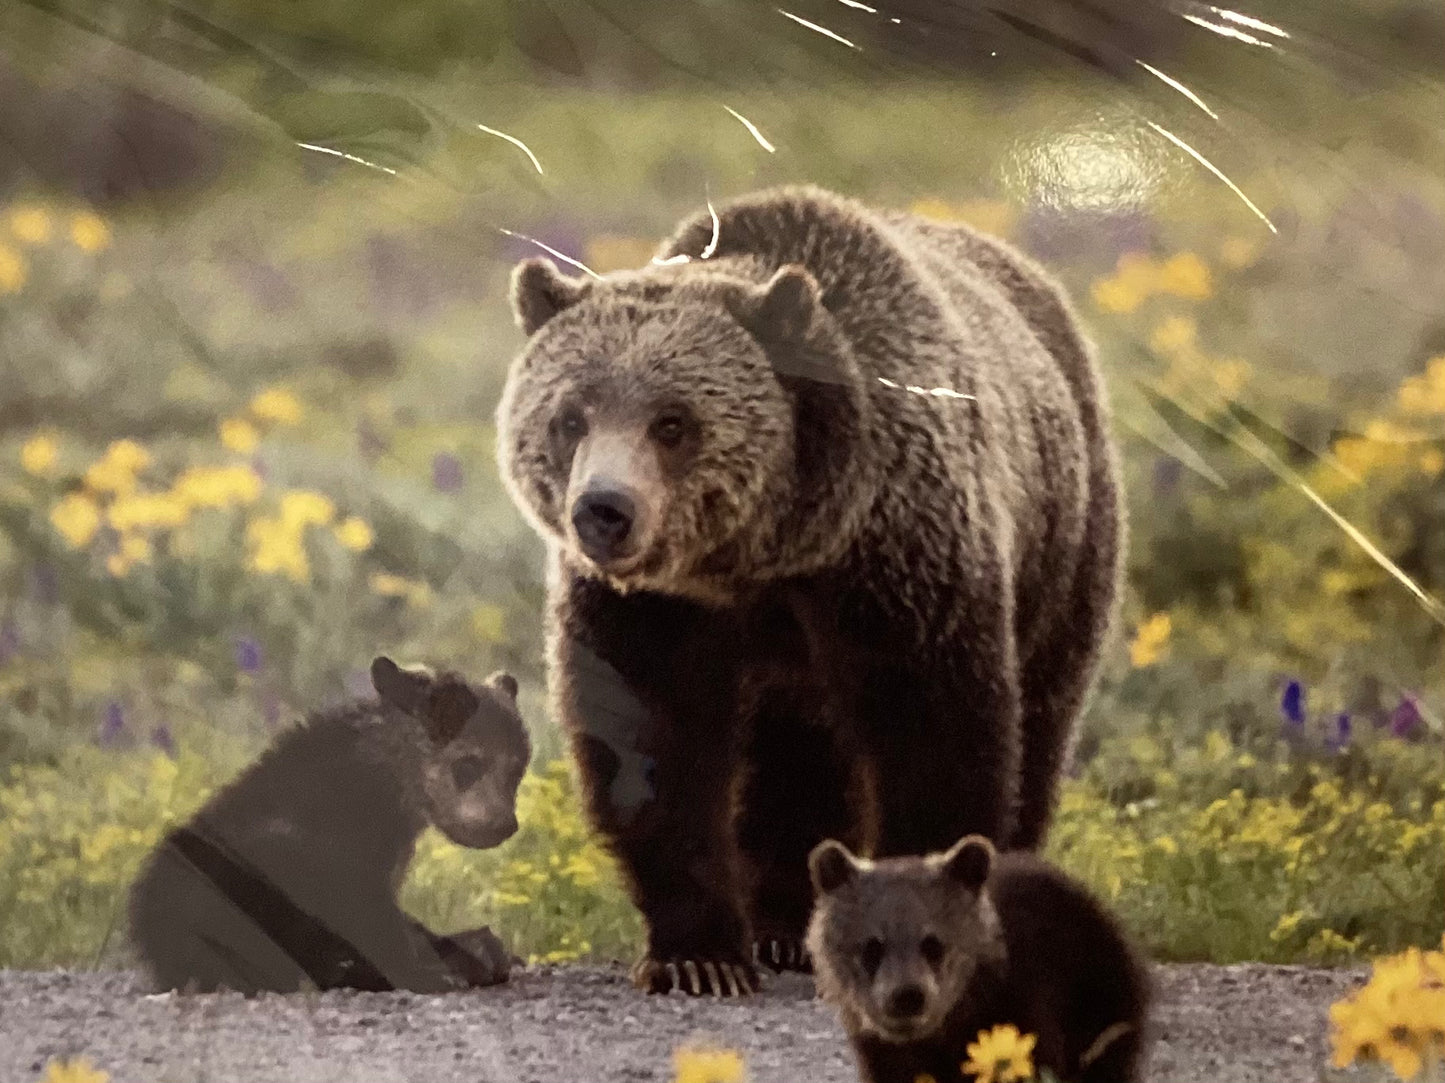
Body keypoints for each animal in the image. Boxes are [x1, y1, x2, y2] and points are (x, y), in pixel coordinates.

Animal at [127, 656, 531, 994]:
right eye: (468, 764)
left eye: (517, 768)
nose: (500, 824)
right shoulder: (325, 841)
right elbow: (363, 910)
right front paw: (427, 971)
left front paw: (478, 947)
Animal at [496, 184, 1122, 995]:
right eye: (570, 416)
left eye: (672, 421)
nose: (604, 509)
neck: (762, 557)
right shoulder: (652, 612)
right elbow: (652, 747)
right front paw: (699, 955)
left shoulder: (898, 566)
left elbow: (937, 735)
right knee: (794, 765)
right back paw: (783, 928)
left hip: (1065, 545)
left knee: (1040, 727)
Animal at [805, 835, 1152, 1083]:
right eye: (871, 947)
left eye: (933, 944)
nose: (907, 996)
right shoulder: (881, 1052)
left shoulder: (1024, 1008)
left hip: (1101, 997)